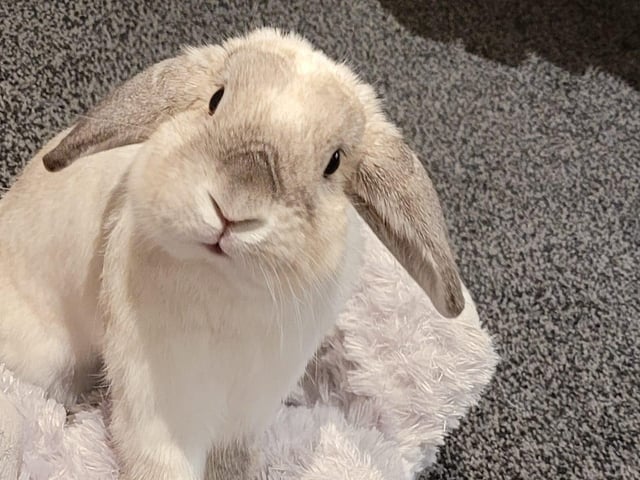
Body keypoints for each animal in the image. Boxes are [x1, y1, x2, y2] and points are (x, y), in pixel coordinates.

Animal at [0, 27, 464, 480]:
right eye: (215, 99)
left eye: (333, 162)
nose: (230, 211)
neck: (225, 282)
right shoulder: (160, 407)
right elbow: (162, 463)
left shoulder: (247, 411)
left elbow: (231, 460)